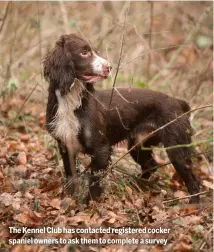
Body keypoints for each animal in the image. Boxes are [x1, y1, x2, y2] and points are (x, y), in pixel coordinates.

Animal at [43, 33, 201, 204]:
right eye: (84, 52)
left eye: (95, 51)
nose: (109, 67)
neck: (72, 100)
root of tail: (178, 101)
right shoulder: (65, 145)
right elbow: (71, 175)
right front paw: (69, 199)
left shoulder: (101, 148)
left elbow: (95, 180)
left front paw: (88, 203)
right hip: (138, 144)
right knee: (151, 165)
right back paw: (138, 184)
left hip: (176, 146)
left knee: (192, 179)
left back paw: (193, 204)